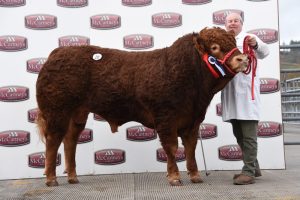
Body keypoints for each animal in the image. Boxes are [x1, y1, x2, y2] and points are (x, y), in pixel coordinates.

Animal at [36, 26, 248, 186]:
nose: (243, 59)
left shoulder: (193, 120)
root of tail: (59, 52)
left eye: (234, 43)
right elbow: (172, 147)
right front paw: (174, 177)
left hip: (77, 114)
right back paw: (51, 179)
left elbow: (190, 148)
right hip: (56, 111)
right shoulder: (165, 117)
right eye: (215, 47)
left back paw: (73, 177)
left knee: (70, 141)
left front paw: (195, 175)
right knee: (53, 141)